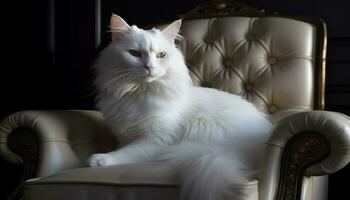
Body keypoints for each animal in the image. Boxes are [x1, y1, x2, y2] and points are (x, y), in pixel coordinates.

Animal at [87, 14, 274, 200]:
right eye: (134, 53)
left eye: (161, 55)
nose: (149, 67)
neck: (139, 92)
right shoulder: (125, 136)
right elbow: (122, 147)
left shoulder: (156, 140)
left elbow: (126, 152)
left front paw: (99, 159)